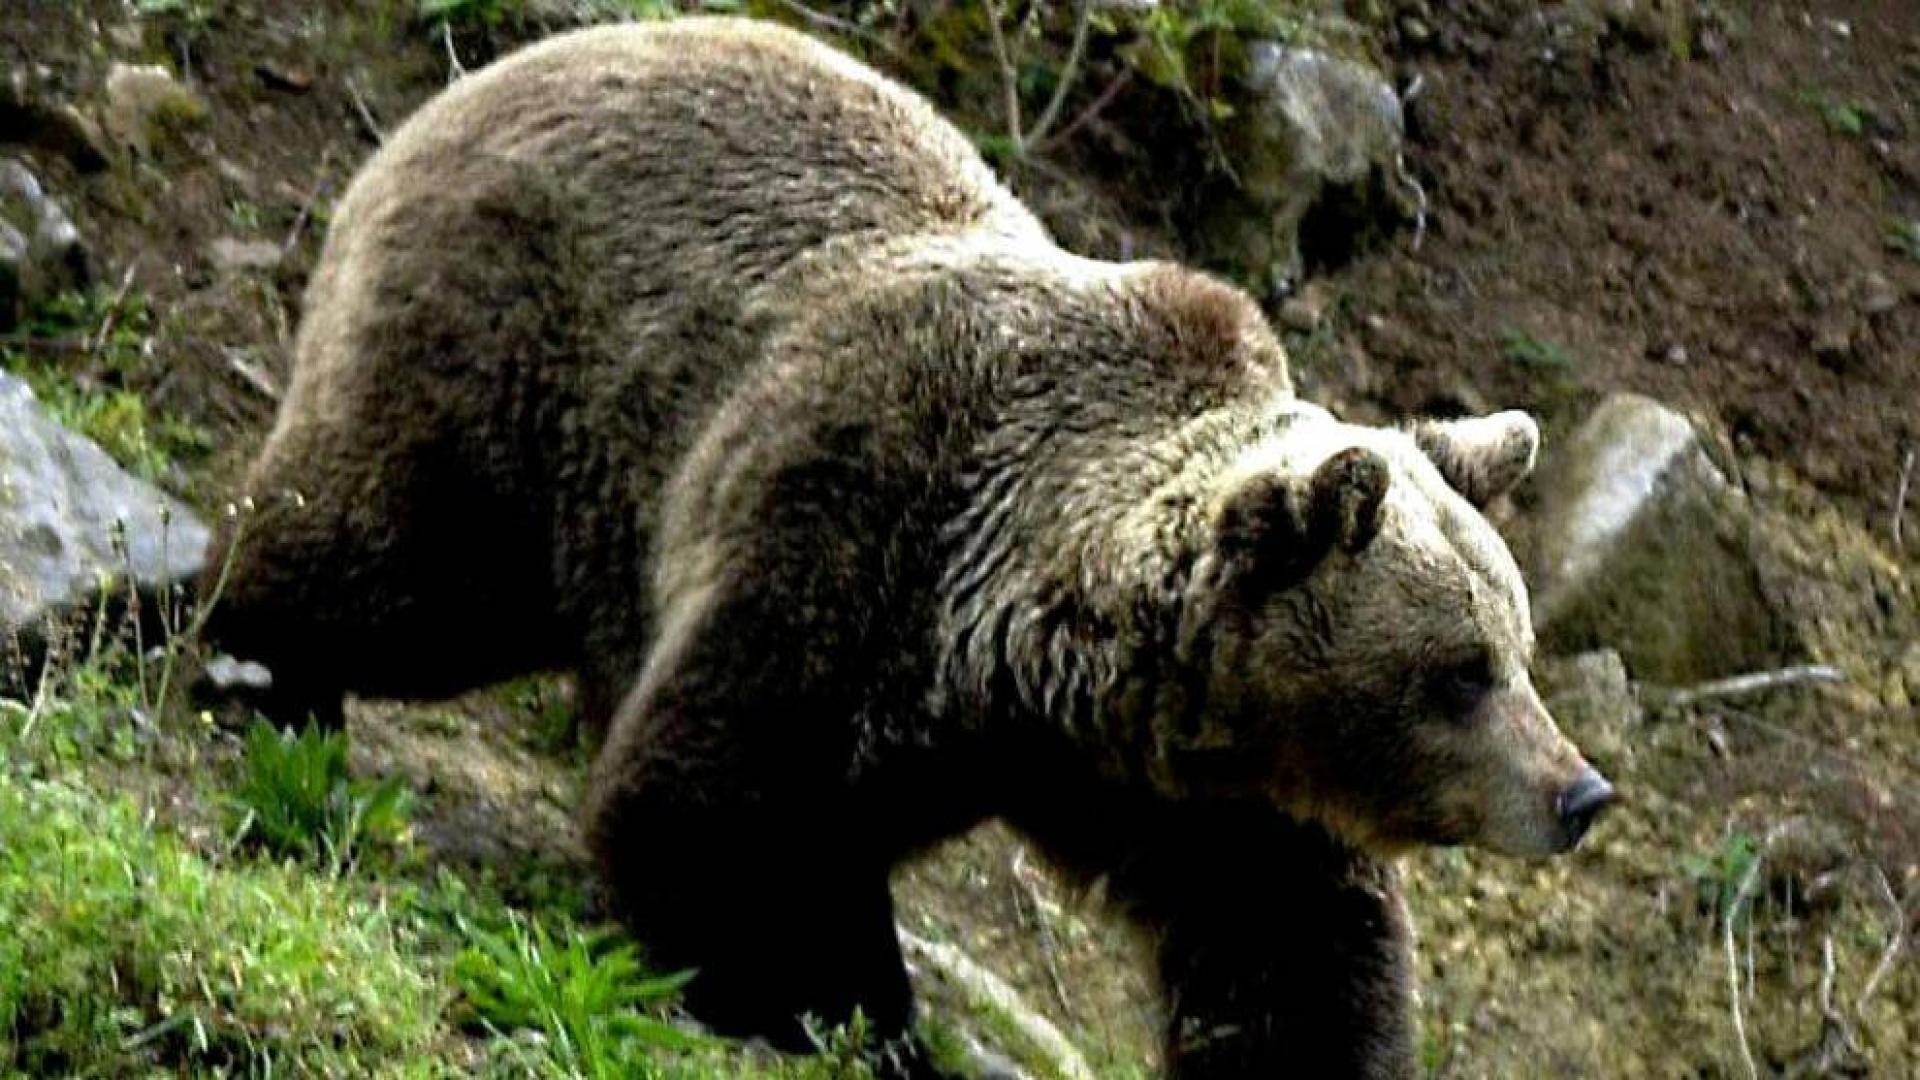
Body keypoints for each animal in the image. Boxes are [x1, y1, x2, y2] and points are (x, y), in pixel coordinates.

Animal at [197, 17, 1615, 1078]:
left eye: (1518, 649)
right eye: (1461, 673)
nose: (1579, 793)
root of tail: (467, 86)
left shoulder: (1190, 783)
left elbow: (1293, 946)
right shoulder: (851, 527)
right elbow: (718, 796)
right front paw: (803, 993)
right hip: (525, 380)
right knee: (392, 558)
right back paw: (249, 668)